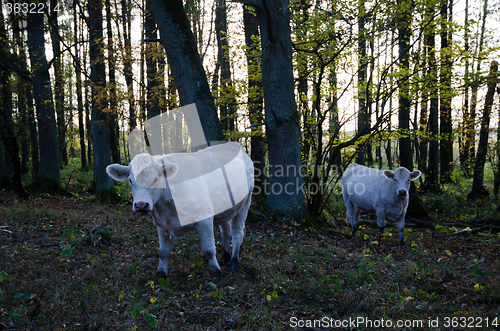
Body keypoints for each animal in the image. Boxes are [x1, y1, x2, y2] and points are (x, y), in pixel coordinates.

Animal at [106, 143, 254, 282]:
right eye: (130, 180)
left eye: (156, 179)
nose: (141, 205)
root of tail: (235, 144)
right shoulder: (161, 223)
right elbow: (163, 252)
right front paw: (160, 273)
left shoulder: (204, 220)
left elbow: (209, 250)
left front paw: (216, 273)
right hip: (226, 208)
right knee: (225, 230)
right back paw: (225, 257)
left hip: (246, 200)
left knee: (237, 233)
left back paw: (234, 263)